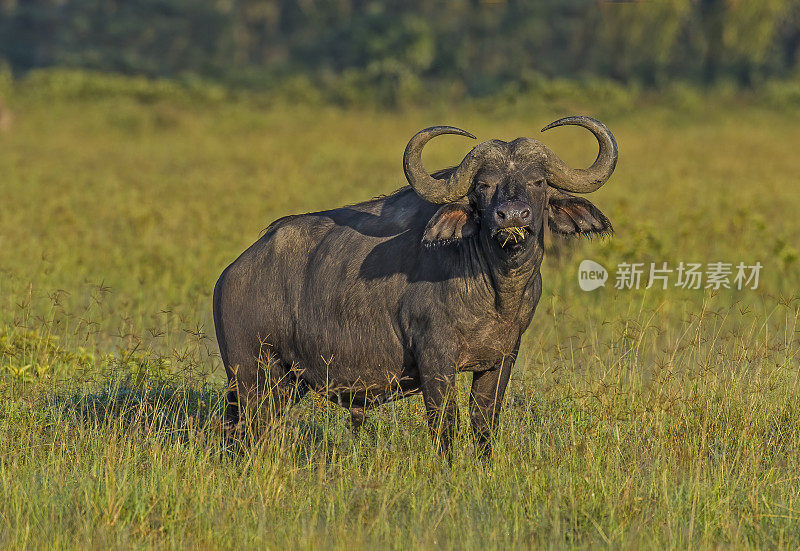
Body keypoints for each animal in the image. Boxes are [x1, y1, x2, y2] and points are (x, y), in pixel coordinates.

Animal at [214, 116, 620, 458]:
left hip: (281, 382)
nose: (512, 217)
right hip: (252, 375)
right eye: (483, 185)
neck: (494, 290)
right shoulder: (435, 359)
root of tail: (231, 275)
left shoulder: (502, 358)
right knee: (254, 428)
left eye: (538, 182)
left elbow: (484, 422)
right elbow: (445, 423)